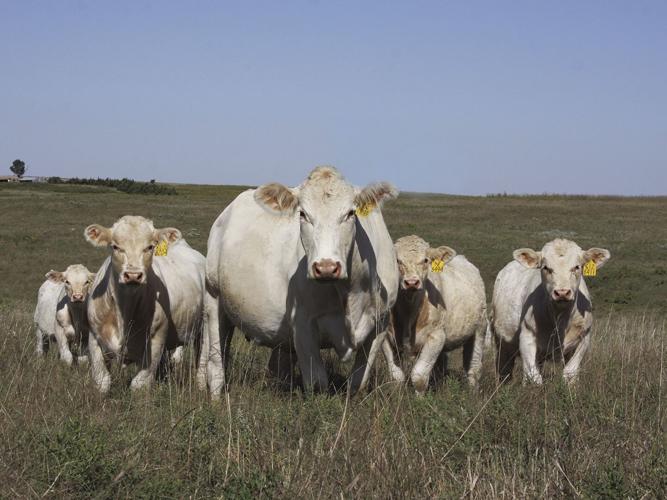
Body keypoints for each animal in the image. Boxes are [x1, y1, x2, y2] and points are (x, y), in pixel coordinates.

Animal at [84, 215, 206, 393]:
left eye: (150, 247)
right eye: (115, 246)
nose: (133, 275)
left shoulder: (155, 342)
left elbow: (139, 385)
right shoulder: (94, 339)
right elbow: (102, 381)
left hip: (203, 329)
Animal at [202, 166, 399, 396]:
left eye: (351, 213)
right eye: (303, 214)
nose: (326, 267)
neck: (350, 293)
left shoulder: (380, 324)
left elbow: (358, 381)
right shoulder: (302, 323)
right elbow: (317, 382)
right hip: (213, 297)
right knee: (216, 359)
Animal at [382, 236, 487, 394]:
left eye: (425, 260)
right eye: (397, 260)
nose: (411, 282)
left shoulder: (436, 336)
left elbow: (419, 376)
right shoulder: (386, 337)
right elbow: (396, 376)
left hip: (479, 328)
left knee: (473, 368)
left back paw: (473, 394)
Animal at [491, 238, 610, 385]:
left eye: (577, 267)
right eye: (546, 268)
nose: (562, 292)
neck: (560, 319)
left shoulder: (583, 338)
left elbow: (570, 373)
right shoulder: (527, 337)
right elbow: (533, 376)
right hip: (502, 342)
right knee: (505, 369)